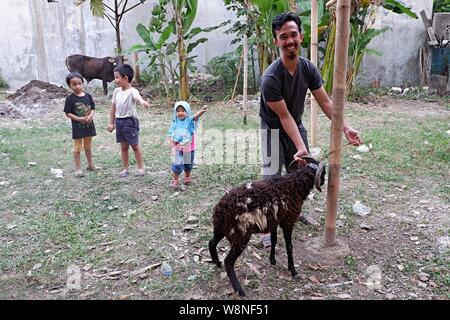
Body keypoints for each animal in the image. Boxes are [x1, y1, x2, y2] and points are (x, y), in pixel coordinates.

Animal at [209, 158, 326, 298]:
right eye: (323, 172)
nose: (324, 181)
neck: (293, 185)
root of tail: (221, 209)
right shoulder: (288, 221)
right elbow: (289, 246)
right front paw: (293, 271)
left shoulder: (274, 222)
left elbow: (274, 240)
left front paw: (272, 260)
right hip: (241, 235)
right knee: (228, 262)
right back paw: (240, 291)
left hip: (221, 228)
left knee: (211, 243)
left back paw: (217, 263)